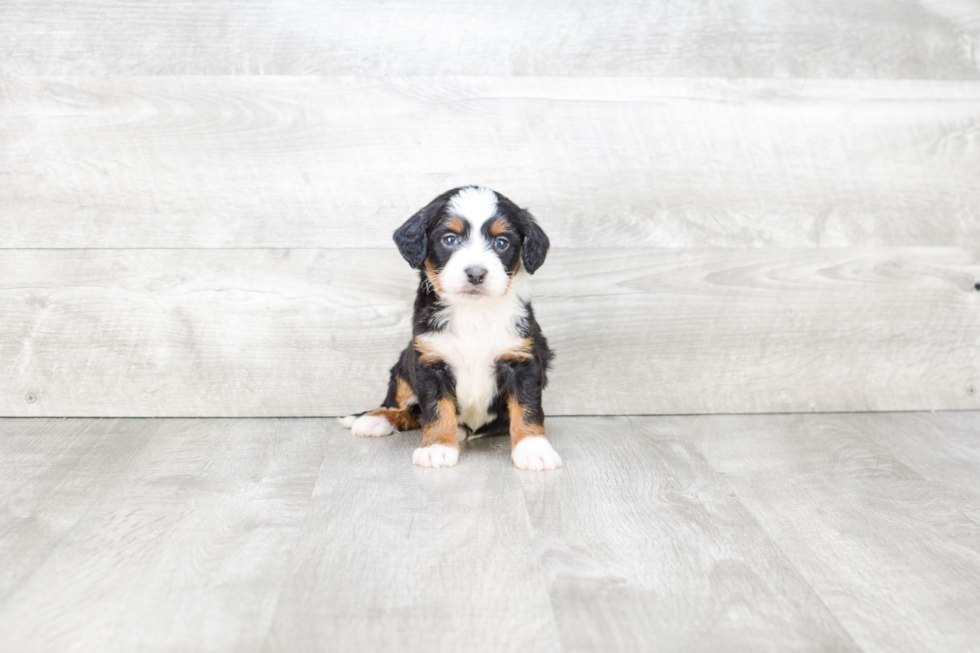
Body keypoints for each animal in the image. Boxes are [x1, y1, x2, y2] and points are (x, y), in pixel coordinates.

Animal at [340, 186, 564, 472]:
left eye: (501, 243)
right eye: (449, 239)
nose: (476, 273)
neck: (473, 313)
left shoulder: (522, 361)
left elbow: (527, 409)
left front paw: (534, 449)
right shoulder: (430, 362)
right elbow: (436, 410)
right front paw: (437, 447)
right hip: (403, 365)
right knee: (404, 407)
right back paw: (376, 419)